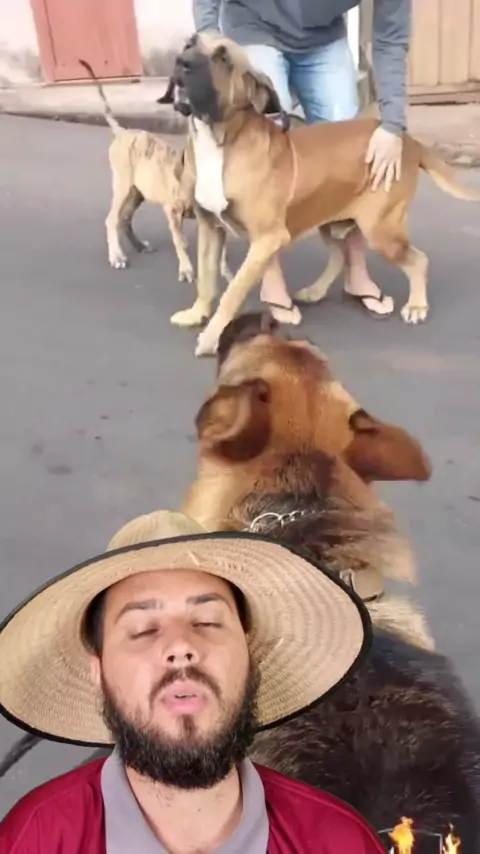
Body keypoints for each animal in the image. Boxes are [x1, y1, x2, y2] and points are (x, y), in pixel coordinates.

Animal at [78, 59, 232, 284]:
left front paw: (227, 273)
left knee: (125, 218)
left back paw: (138, 245)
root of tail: (123, 132)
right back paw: (117, 256)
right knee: (112, 219)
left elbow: (221, 250)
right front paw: (186, 270)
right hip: (122, 185)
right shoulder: (173, 212)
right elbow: (181, 242)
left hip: (137, 193)